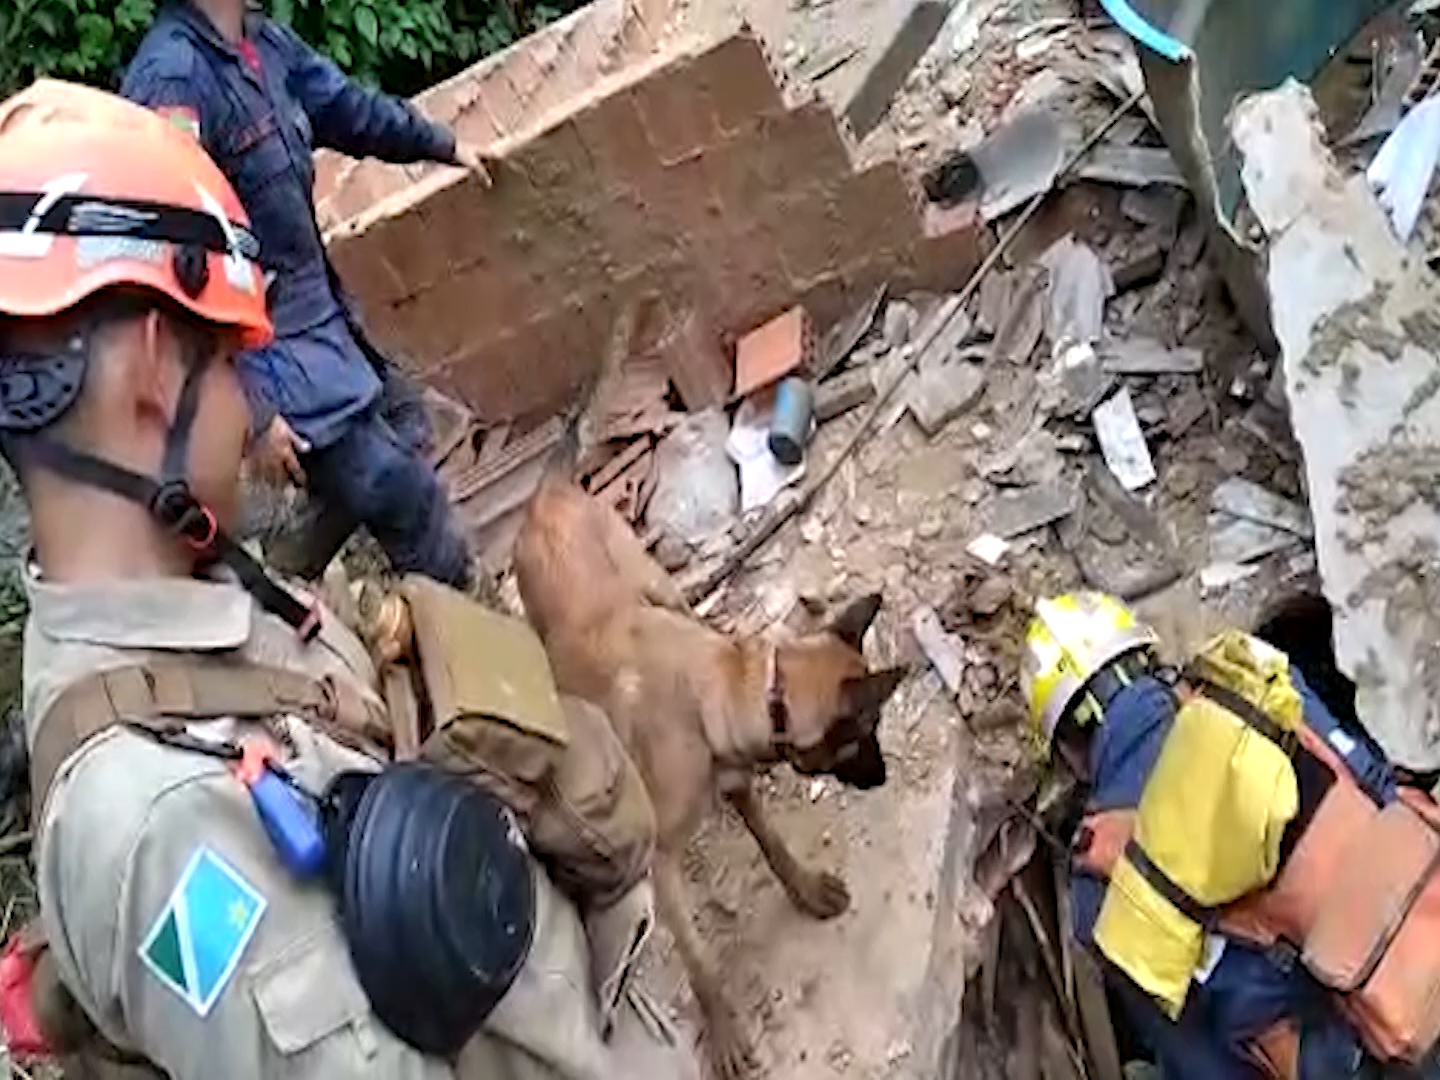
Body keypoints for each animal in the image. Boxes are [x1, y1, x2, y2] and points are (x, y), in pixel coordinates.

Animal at [515, 480, 898, 1080]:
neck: (737, 689)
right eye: (866, 734)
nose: (883, 776)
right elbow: (699, 961)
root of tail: (544, 490)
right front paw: (721, 1029)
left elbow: (773, 844)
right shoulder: (662, 863)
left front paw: (806, 889)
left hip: (656, 583)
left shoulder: (738, 778)